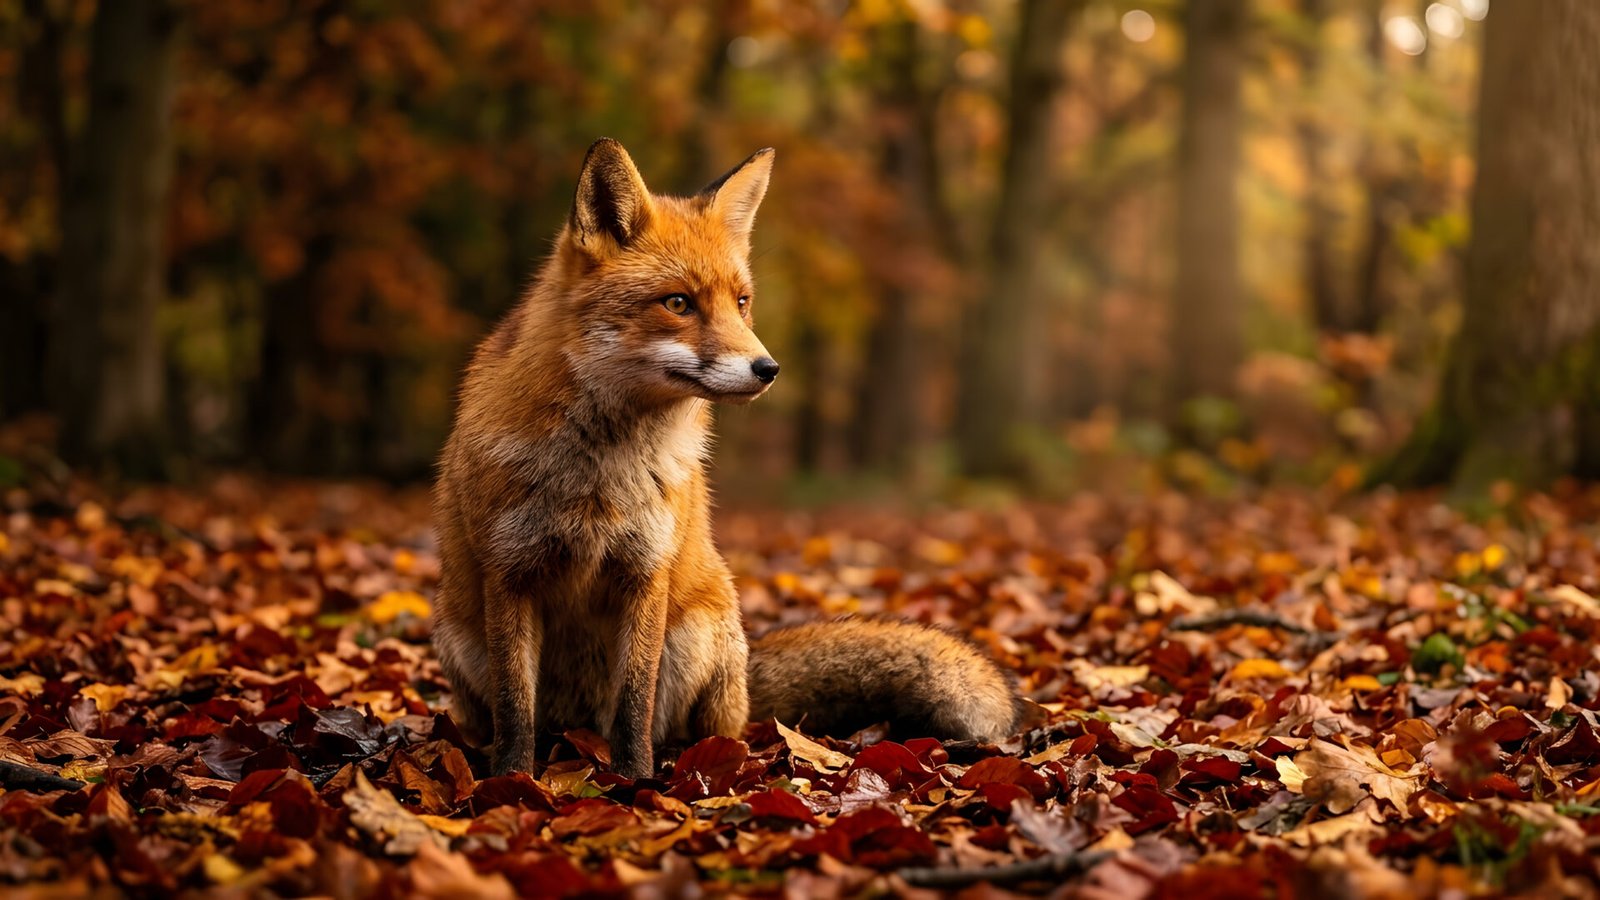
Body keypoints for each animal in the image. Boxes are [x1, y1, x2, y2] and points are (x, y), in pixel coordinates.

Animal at [431, 138, 1020, 778]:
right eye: (678, 303)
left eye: (742, 303)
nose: (769, 369)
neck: (600, 473)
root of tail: (573, 730)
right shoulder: (510, 574)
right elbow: (516, 713)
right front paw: (511, 784)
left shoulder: (647, 572)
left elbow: (633, 705)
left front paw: (634, 784)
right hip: (460, 639)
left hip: (698, 635)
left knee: (691, 727)